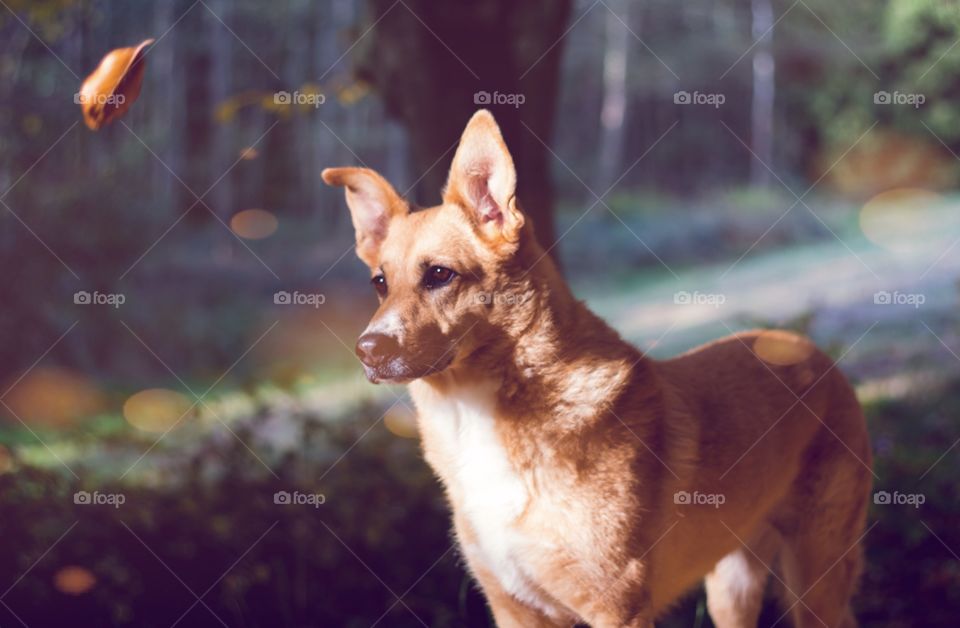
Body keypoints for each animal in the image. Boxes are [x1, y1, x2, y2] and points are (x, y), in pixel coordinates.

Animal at [320, 110, 872, 624]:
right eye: (379, 284)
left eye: (439, 274)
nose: (366, 351)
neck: (477, 413)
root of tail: (803, 346)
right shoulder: (514, 610)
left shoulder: (618, 609)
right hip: (730, 589)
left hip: (815, 583)